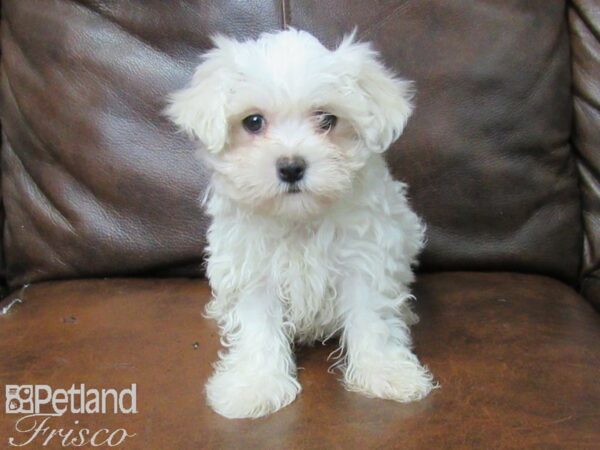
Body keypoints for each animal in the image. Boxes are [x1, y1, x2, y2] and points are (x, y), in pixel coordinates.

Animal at [166, 29, 434, 420]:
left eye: (327, 119)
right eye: (253, 122)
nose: (291, 167)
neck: (300, 219)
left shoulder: (365, 258)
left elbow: (372, 319)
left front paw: (385, 372)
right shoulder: (253, 270)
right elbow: (258, 327)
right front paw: (255, 385)